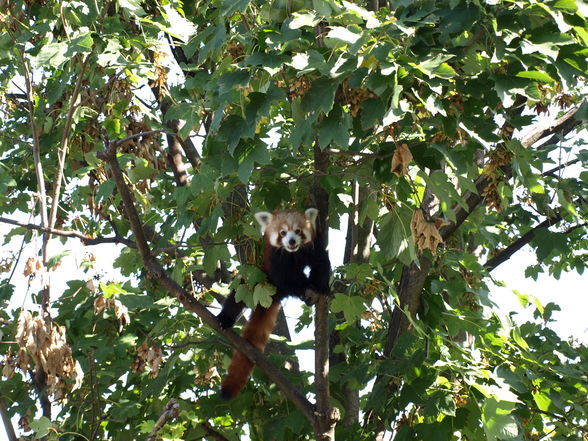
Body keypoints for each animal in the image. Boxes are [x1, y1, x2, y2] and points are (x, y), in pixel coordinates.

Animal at [218, 208, 334, 398]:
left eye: (298, 231)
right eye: (283, 233)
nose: (292, 241)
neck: (293, 254)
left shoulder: (314, 249)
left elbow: (321, 266)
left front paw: (320, 288)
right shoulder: (276, 261)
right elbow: (287, 279)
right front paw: (306, 286)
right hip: (257, 278)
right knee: (237, 296)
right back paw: (224, 318)